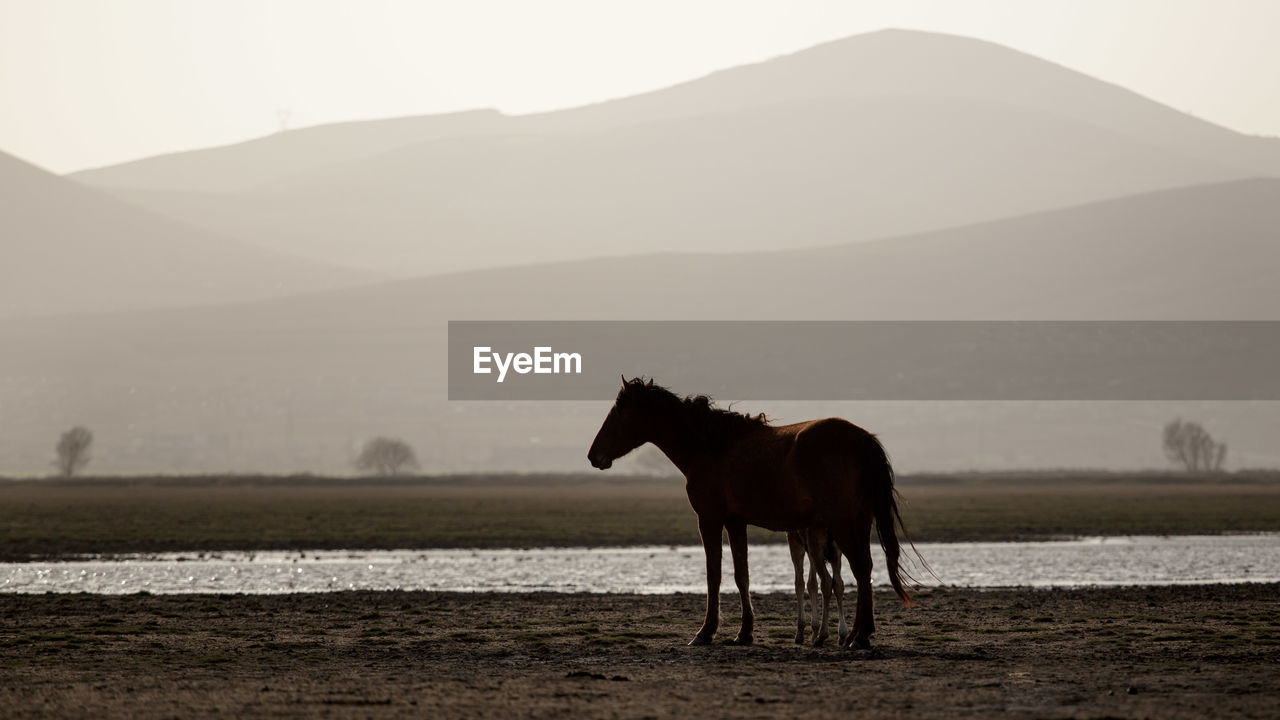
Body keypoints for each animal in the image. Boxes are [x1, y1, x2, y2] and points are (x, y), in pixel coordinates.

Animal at [588, 376, 921, 645]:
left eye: (618, 411)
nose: (593, 455)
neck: (712, 446)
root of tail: (861, 438)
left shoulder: (709, 519)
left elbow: (714, 574)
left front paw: (705, 632)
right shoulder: (736, 522)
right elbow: (741, 575)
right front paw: (744, 632)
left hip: (843, 525)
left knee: (861, 569)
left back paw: (859, 637)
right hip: (857, 523)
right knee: (863, 571)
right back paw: (854, 634)